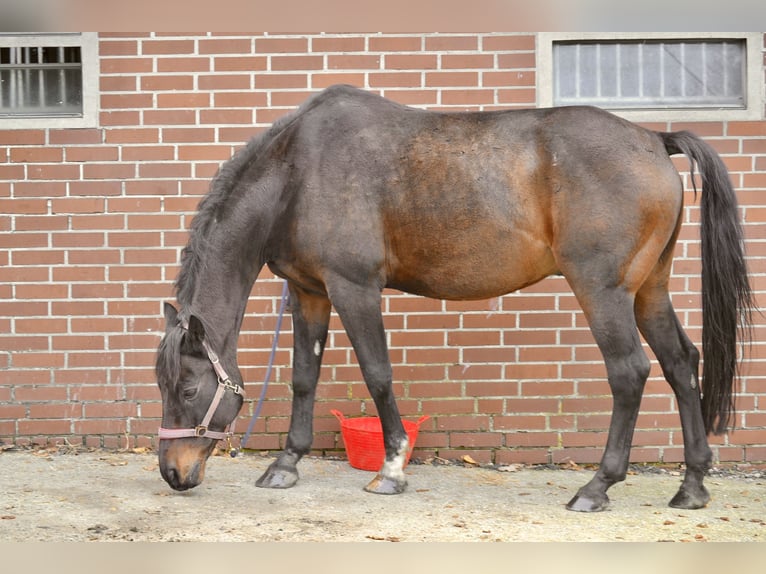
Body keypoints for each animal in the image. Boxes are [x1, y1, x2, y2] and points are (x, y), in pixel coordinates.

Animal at [156, 85, 756, 512]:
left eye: (187, 388)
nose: (172, 473)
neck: (296, 174)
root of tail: (654, 138)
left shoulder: (354, 288)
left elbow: (378, 374)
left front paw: (391, 469)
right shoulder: (309, 292)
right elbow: (304, 376)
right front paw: (285, 465)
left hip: (603, 291)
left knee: (630, 373)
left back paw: (596, 487)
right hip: (649, 288)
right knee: (681, 363)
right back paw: (692, 486)